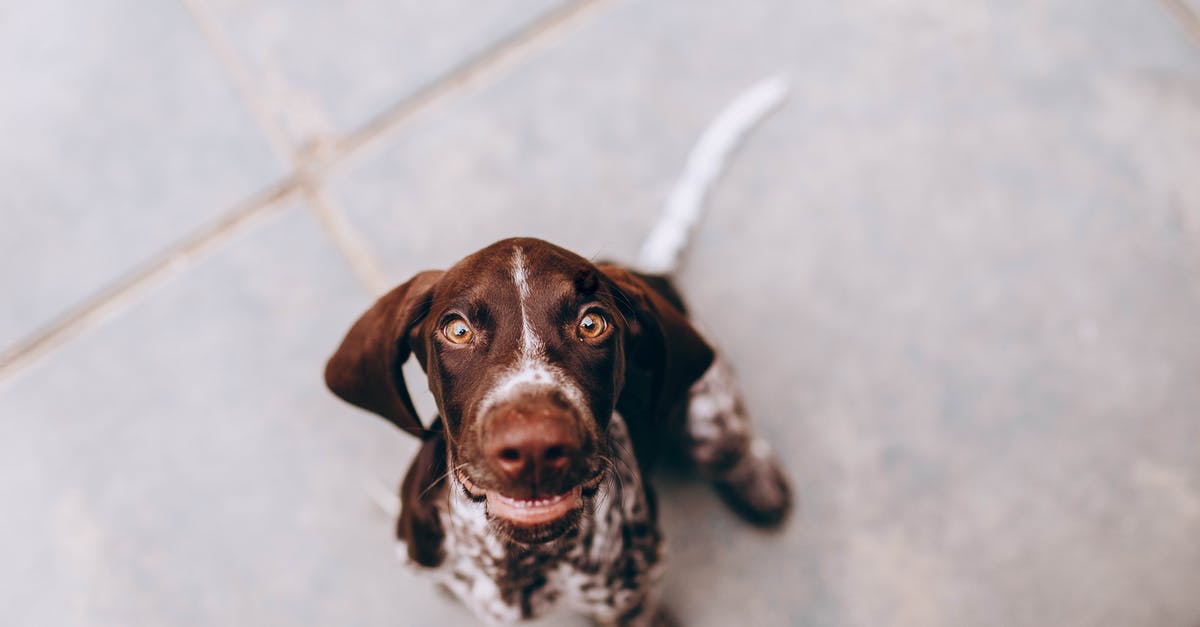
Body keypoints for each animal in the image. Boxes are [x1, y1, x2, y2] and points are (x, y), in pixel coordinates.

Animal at [324, 236, 792, 619]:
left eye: (592, 323)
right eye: (457, 329)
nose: (534, 448)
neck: (523, 559)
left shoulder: (629, 604)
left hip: (710, 416)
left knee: (732, 446)